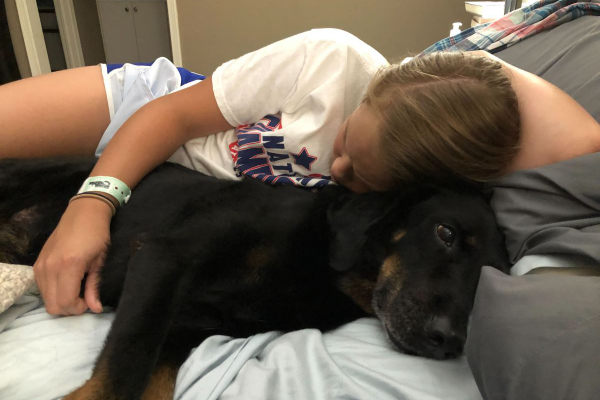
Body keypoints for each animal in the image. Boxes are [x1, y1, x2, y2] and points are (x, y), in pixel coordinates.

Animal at [0, 159, 508, 400]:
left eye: (490, 278)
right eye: (446, 232)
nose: (450, 340)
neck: (321, 269)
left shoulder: (185, 328)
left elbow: (149, 382)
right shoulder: (165, 256)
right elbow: (123, 371)